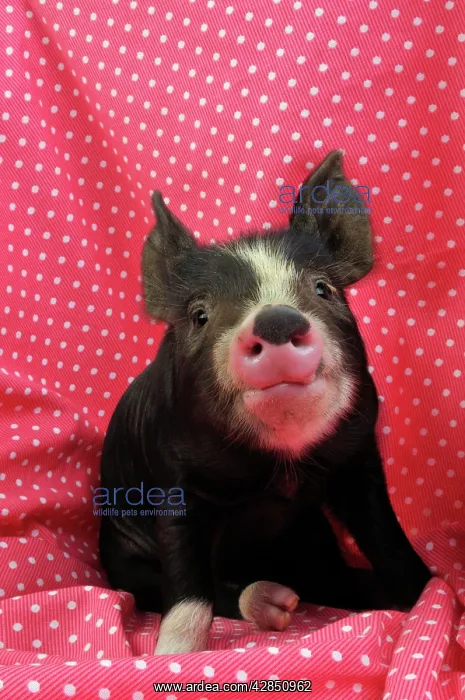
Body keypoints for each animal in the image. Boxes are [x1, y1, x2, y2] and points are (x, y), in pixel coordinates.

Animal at [98, 150, 431, 655]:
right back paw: (276, 605)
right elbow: (188, 592)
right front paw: (170, 657)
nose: (275, 319)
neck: (280, 467)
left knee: (328, 578)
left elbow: (388, 540)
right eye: (199, 315)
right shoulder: (173, 482)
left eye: (322, 289)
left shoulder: (358, 458)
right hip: (122, 558)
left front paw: (432, 595)